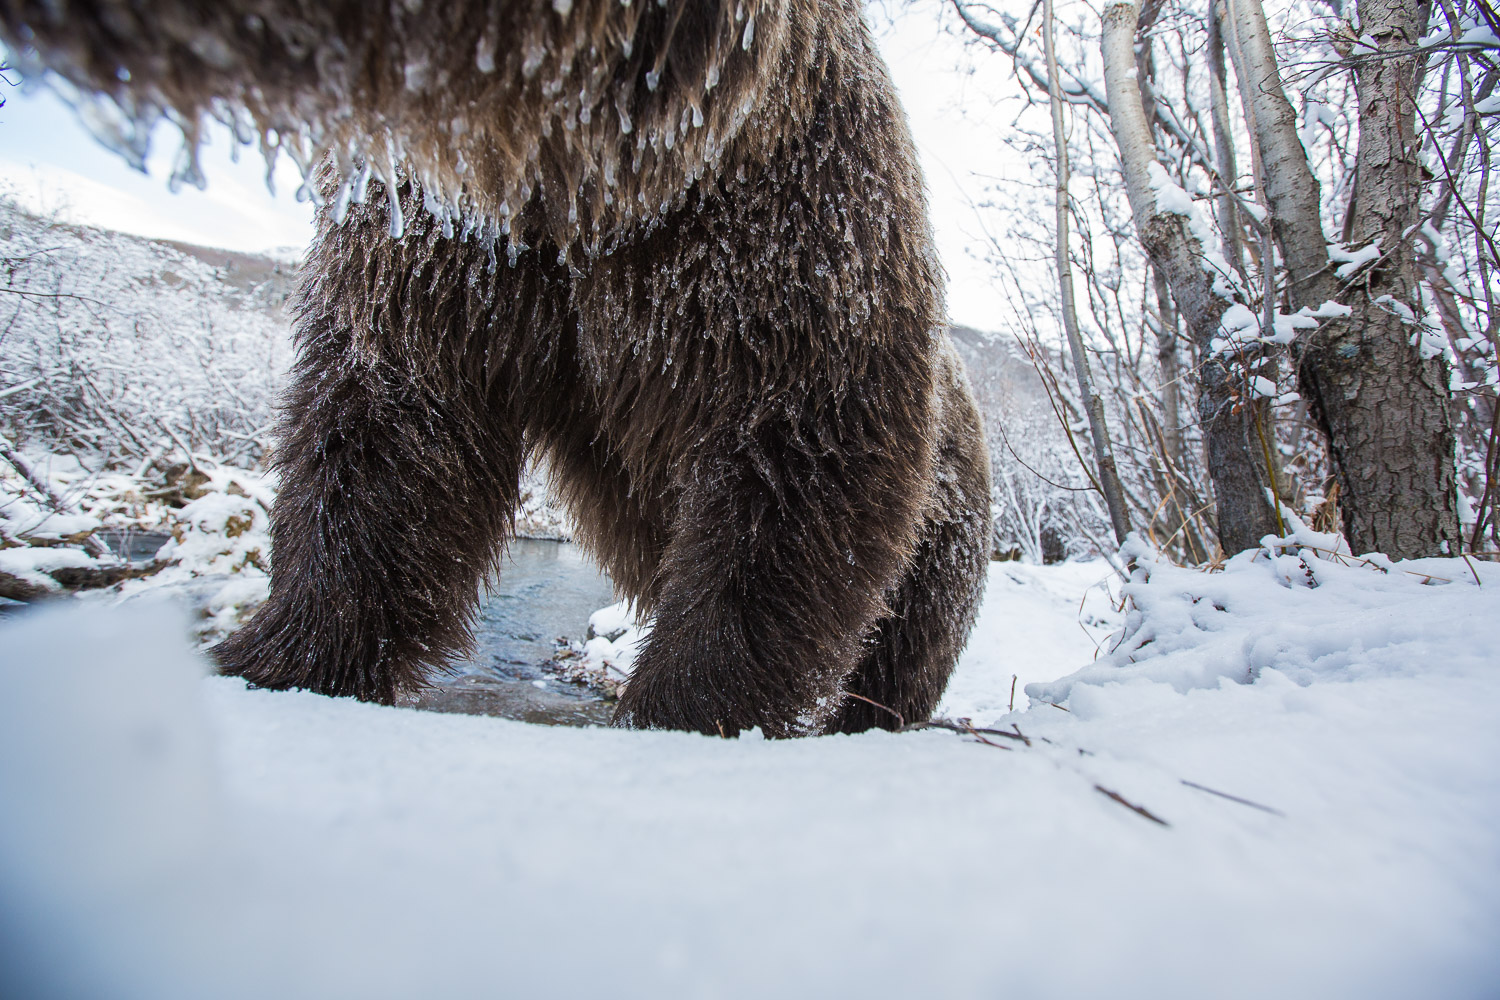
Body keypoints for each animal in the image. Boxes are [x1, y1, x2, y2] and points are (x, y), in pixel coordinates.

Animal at [8, 0, 996, 734]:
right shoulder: (457, 246)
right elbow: (388, 429)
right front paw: (277, 662)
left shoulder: (773, 214)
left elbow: (792, 450)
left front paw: (682, 710)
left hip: (947, 534)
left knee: (900, 643)